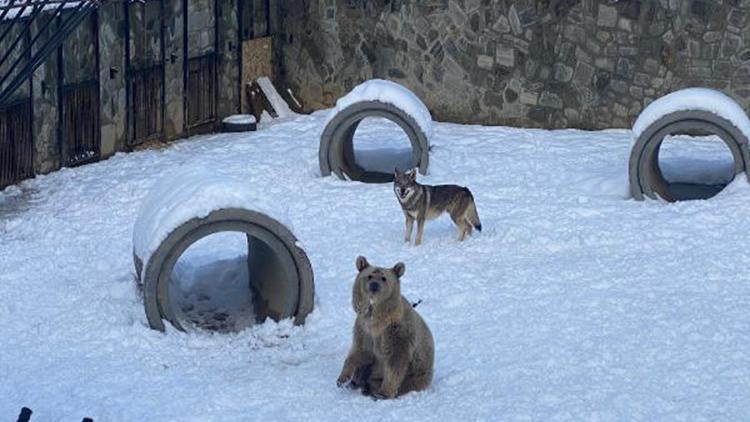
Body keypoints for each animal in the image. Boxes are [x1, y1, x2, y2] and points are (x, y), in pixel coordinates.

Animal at [336, 254, 434, 398]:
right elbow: (360, 351)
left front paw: (384, 392)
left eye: (384, 278)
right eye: (369, 276)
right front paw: (343, 379)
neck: (377, 317)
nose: (374, 285)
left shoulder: (396, 332)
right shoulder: (364, 329)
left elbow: (395, 361)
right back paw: (355, 383)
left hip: (417, 373)